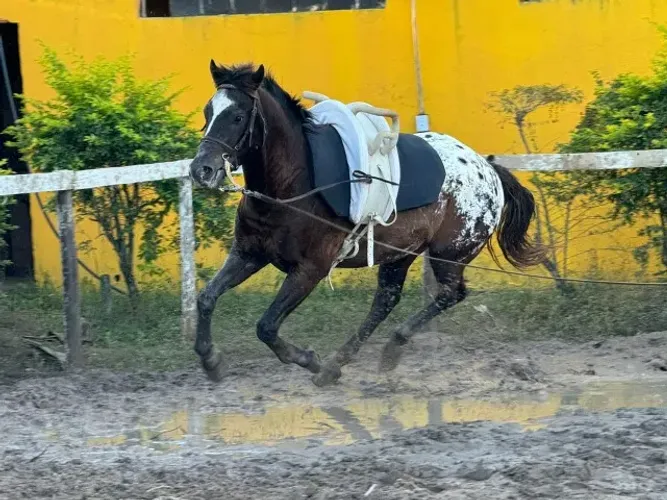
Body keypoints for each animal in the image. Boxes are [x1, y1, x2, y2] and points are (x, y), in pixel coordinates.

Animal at [189, 61, 543, 387]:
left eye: (237, 116)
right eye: (209, 111)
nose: (201, 169)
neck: (292, 187)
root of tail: (487, 168)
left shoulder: (310, 269)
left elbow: (266, 326)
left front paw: (309, 360)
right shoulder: (249, 253)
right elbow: (205, 299)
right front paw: (210, 360)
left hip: (449, 255)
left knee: (449, 295)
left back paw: (378, 351)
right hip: (402, 254)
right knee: (386, 300)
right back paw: (347, 359)